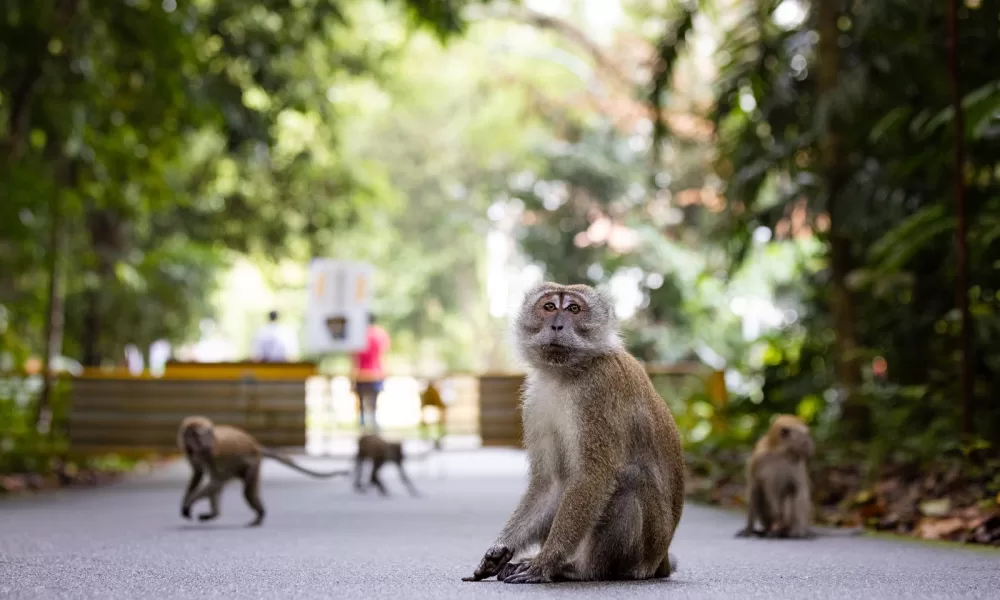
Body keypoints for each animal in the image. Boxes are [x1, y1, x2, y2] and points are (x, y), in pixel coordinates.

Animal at [178, 416, 350, 527]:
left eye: (207, 434)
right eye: (197, 435)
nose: (207, 442)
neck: (201, 450)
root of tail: (254, 445)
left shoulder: (213, 455)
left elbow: (216, 482)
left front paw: (189, 503)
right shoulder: (194, 454)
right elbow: (199, 475)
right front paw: (185, 504)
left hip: (252, 463)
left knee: (246, 491)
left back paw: (260, 515)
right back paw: (215, 514)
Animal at [462, 282, 685, 584]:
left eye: (573, 309)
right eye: (549, 307)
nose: (557, 325)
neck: (566, 373)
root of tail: (661, 561)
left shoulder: (599, 389)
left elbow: (593, 475)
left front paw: (544, 563)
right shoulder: (535, 400)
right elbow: (551, 482)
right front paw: (500, 552)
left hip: (646, 552)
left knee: (629, 481)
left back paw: (579, 569)